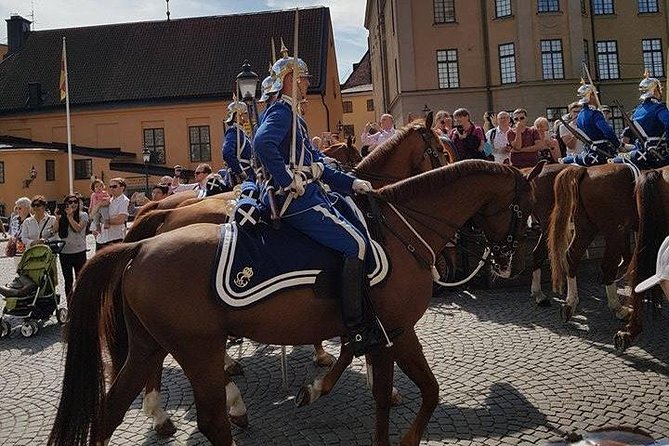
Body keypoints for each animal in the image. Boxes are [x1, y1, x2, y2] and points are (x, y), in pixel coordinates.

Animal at [48, 160, 536, 446]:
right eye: (526, 204)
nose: (514, 259)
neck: (398, 233)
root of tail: (140, 247)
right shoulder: (395, 331)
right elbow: (417, 393)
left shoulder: (378, 333)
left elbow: (388, 390)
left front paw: (318, 386)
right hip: (197, 349)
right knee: (212, 421)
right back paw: (223, 409)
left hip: (150, 345)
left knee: (110, 411)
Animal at [548, 164, 636, 320]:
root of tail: (585, 170)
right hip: (614, 233)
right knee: (608, 265)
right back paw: (617, 307)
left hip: (586, 228)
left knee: (571, 257)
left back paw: (570, 303)